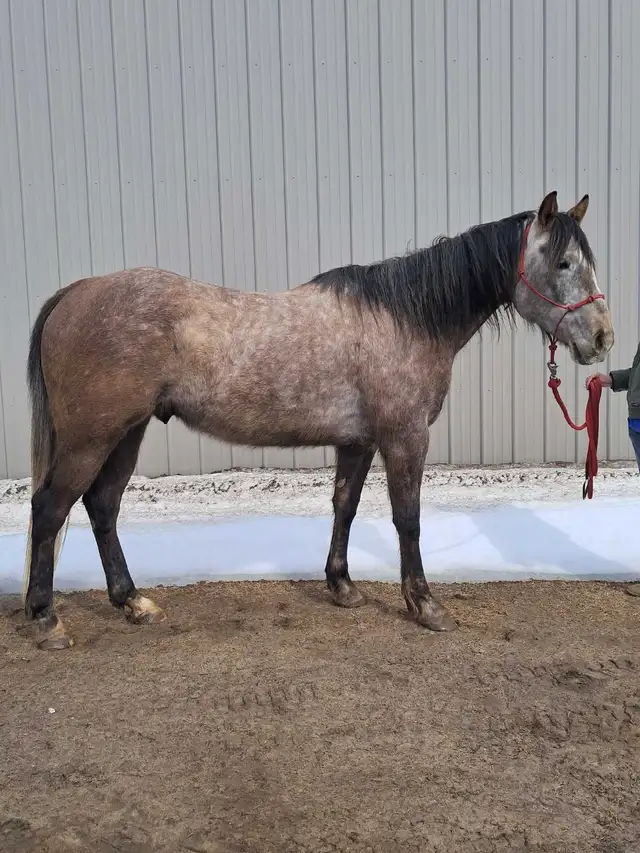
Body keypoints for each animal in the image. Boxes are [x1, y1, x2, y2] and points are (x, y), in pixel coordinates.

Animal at [22, 190, 613, 649]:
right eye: (563, 263)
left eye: (589, 261)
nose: (603, 338)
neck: (404, 319)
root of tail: (75, 294)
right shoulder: (405, 437)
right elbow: (408, 519)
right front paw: (424, 605)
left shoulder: (358, 442)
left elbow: (344, 507)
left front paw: (342, 586)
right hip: (91, 438)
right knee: (51, 509)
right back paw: (46, 620)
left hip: (127, 432)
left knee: (102, 506)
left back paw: (131, 601)